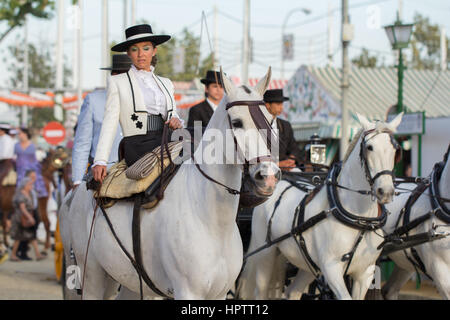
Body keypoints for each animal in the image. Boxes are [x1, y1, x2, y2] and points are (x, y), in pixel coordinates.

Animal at [58, 68, 280, 300]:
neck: (213, 221)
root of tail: (77, 191)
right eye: (237, 122)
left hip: (126, 279)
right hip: (92, 275)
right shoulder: (187, 292)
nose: (268, 176)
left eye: (269, 120)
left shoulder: (219, 294)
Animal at [237, 114, 402, 298]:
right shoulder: (331, 269)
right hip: (265, 254)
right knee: (261, 290)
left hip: (307, 264)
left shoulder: (365, 273)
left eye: (396, 149)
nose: (385, 191)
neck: (360, 219)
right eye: (369, 147)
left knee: (292, 292)